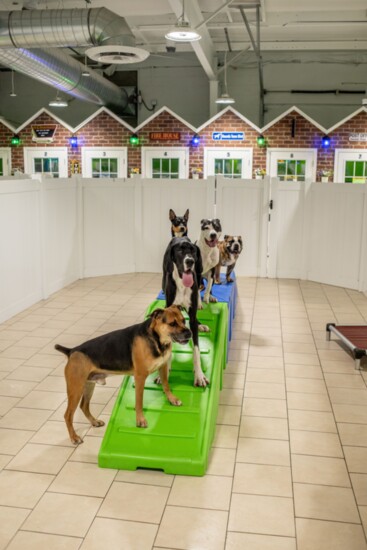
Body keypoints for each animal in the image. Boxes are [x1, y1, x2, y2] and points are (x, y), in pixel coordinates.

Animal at [56, 308, 193, 446]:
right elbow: (139, 402)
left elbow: (166, 385)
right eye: (172, 324)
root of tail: (72, 351)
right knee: (68, 415)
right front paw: (140, 420)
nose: (189, 333)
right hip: (76, 389)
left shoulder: (163, 367)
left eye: (183, 320)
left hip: (88, 386)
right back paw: (74, 437)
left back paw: (94, 422)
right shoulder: (140, 377)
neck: (156, 339)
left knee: (84, 406)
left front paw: (172, 399)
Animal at [162, 237, 210, 388]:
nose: (190, 261)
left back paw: (201, 325)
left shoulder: (192, 318)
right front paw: (165, 372)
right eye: (180, 251)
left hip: (199, 274)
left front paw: (199, 376)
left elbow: (196, 350)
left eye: (193, 251)